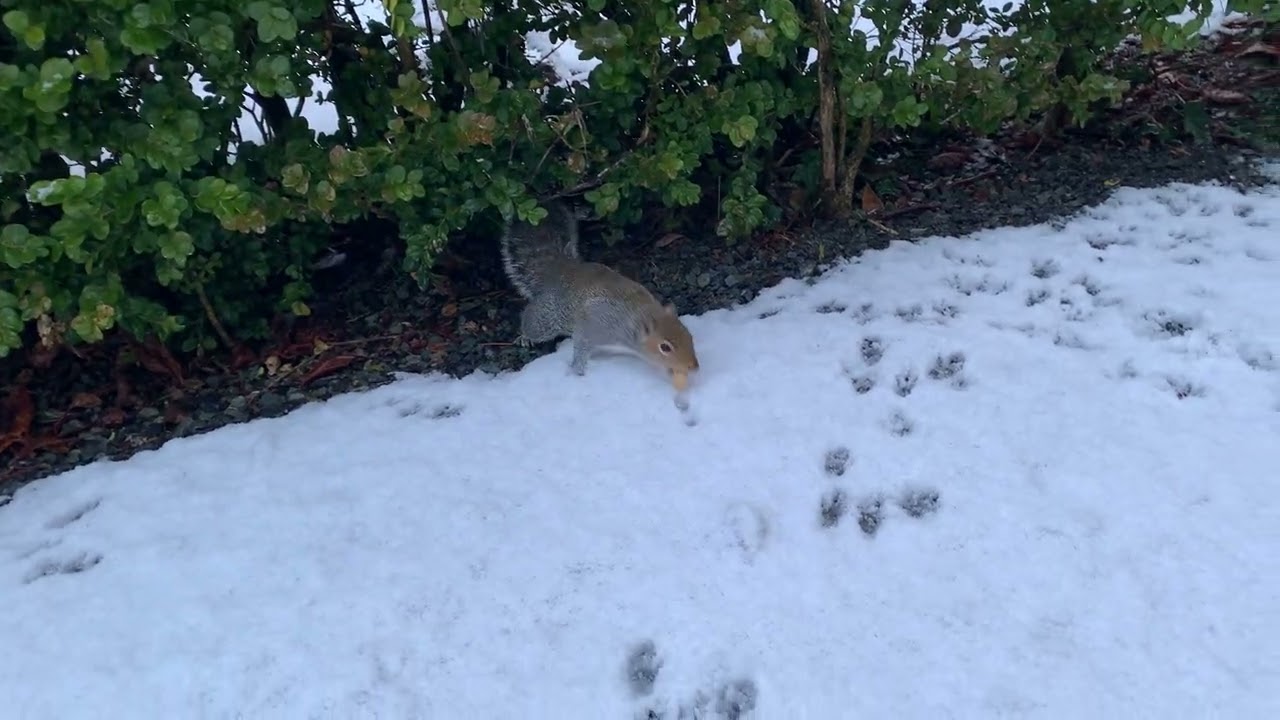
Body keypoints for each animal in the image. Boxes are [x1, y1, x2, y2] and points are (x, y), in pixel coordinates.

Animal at [500, 201, 700, 390]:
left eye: (690, 336)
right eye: (665, 347)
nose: (694, 367)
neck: (637, 317)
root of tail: (559, 273)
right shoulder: (594, 323)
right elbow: (581, 345)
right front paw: (578, 370)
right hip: (547, 318)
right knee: (532, 322)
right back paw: (525, 337)